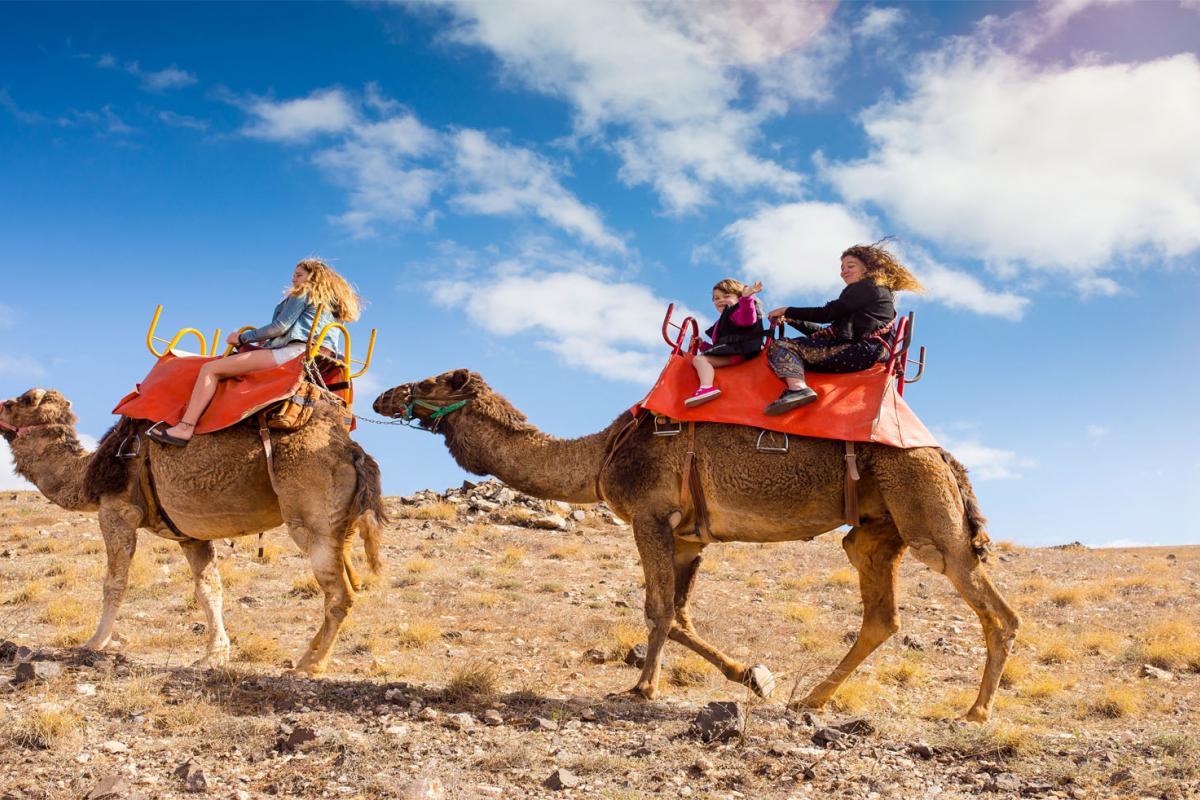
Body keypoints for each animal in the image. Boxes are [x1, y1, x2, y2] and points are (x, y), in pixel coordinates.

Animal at [0, 388, 384, 676]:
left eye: (22, 400)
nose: (0, 406)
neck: (88, 473)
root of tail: (353, 452)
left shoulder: (117, 512)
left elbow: (115, 583)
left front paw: (94, 643)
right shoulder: (190, 536)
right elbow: (209, 590)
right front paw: (215, 655)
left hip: (312, 520)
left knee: (341, 593)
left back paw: (311, 665)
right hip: (342, 526)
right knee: (348, 582)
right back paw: (308, 655)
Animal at [374, 371, 1022, 724]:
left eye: (430, 381)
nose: (383, 397)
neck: (601, 454)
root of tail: (945, 457)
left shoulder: (649, 516)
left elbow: (657, 609)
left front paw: (641, 688)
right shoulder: (689, 536)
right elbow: (681, 614)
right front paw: (753, 676)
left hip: (924, 510)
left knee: (996, 609)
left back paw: (976, 711)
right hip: (875, 530)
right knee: (881, 614)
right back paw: (810, 700)